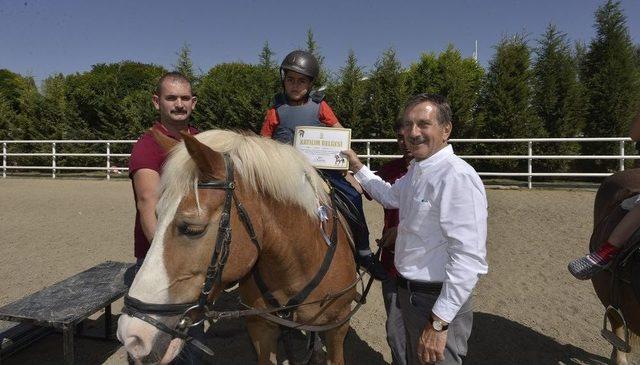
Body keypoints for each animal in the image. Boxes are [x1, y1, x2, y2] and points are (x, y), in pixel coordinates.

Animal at [116, 129, 360, 362]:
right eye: (156, 216)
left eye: (193, 229)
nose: (132, 335)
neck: (299, 263)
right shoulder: (260, 327)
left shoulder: (338, 326)